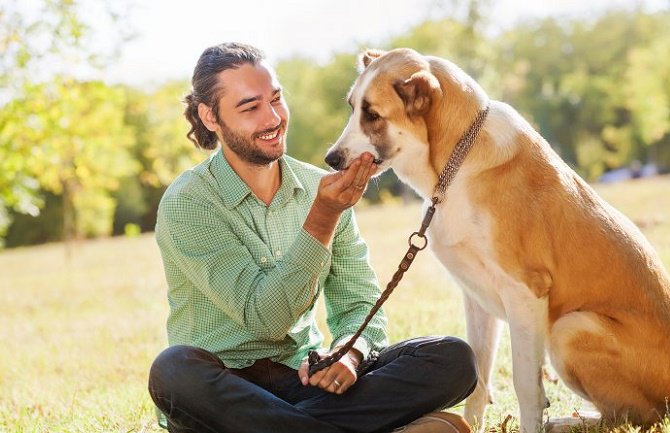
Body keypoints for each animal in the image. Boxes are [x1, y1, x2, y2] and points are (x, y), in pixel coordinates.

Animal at [326, 48, 670, 432]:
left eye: (372, 114)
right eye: (352, 107)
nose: (330, 159)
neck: (455, 164)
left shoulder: (525, 293)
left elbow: (526, 385)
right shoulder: (477, 299)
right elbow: (479, 376)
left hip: (570, 327)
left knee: (639, 415)